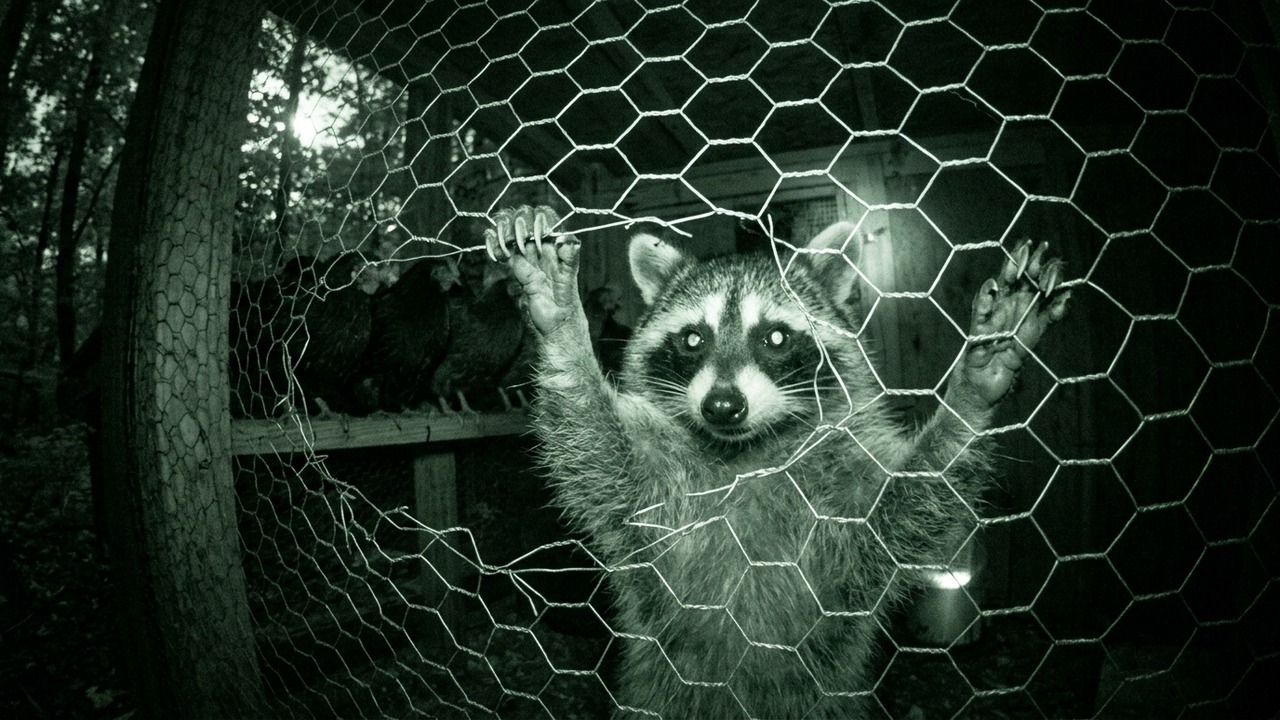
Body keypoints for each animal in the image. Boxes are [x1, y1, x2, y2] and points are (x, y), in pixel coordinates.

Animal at [485, 205, 1070, 719]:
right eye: (693, 338)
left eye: (775, 336)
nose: (722, 406)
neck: (748, 451)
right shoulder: (652, 494)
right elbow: (593, 444)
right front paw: (563, 331)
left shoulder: (846, 505)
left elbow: (915, 502)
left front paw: (971, 395)